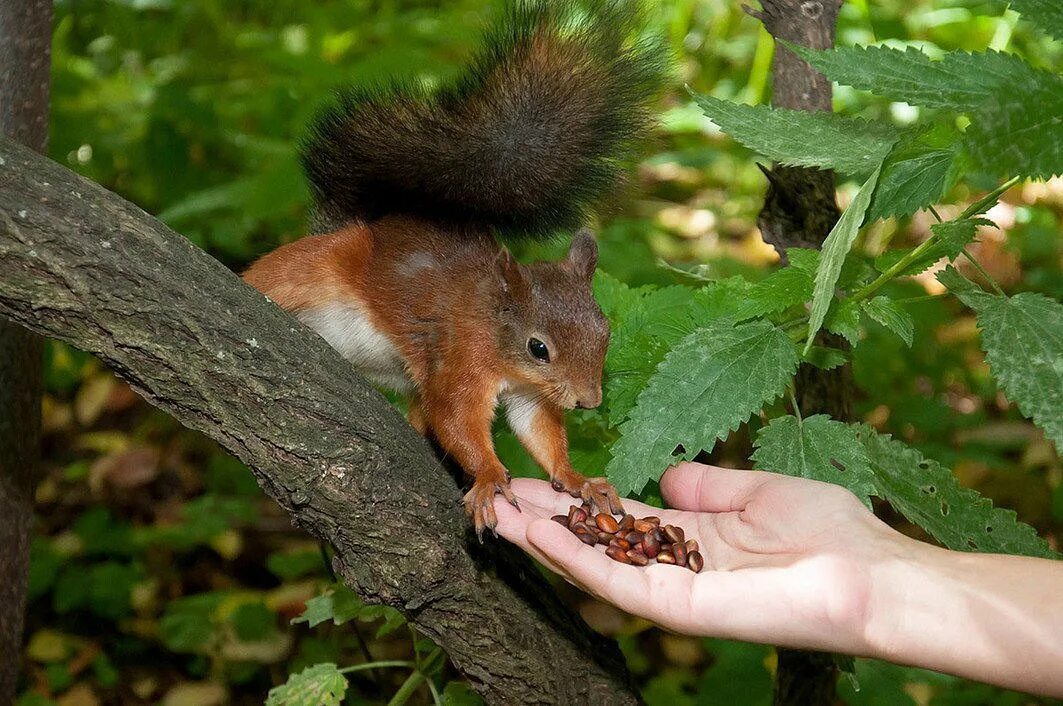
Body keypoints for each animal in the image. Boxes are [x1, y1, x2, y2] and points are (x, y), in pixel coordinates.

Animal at [244, 0, 667, 538]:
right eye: (539, 348)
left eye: (605, 332)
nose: (589, 401)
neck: (495, 328)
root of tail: (372, 225)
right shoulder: (462, 355)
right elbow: (455, 416)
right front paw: (487, 477)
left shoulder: (529, 393)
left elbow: (538, 430)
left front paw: (576, 478)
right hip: (321, 261)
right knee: (280, 274)